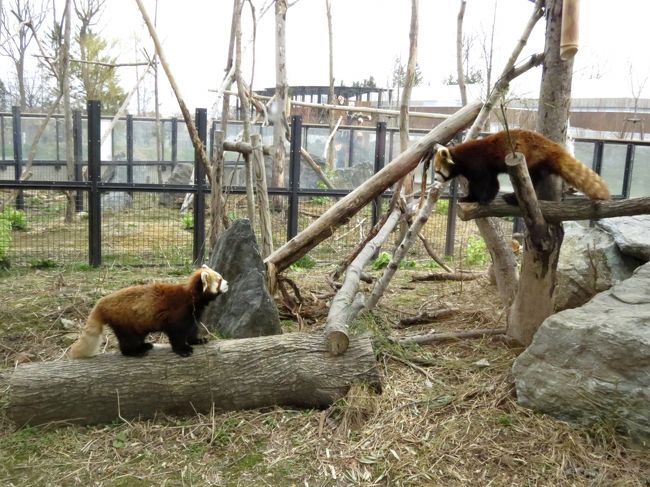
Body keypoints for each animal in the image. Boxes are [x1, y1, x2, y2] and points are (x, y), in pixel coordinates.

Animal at [68, 264, 228, 360]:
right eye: (220, 279)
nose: (227, 283)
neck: (192, 297)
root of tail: (101, 303)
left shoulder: (193, 315)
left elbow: (192, 330)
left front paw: (198, 340)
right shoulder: (178, 313)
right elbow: (176, 334)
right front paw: (183, 349)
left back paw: (144, 345)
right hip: (126, 321)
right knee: (128, 340)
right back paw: (136, 351)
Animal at [432, 129, 612, 205]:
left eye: (437, 171)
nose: (434, 179)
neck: (460, 157)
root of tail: (553, 147)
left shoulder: (478, 164)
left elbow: (484, 183)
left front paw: (482, 198)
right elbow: (490, 183)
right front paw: (471, 197)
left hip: (531, 158)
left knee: (532, 180)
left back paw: (513, 198)